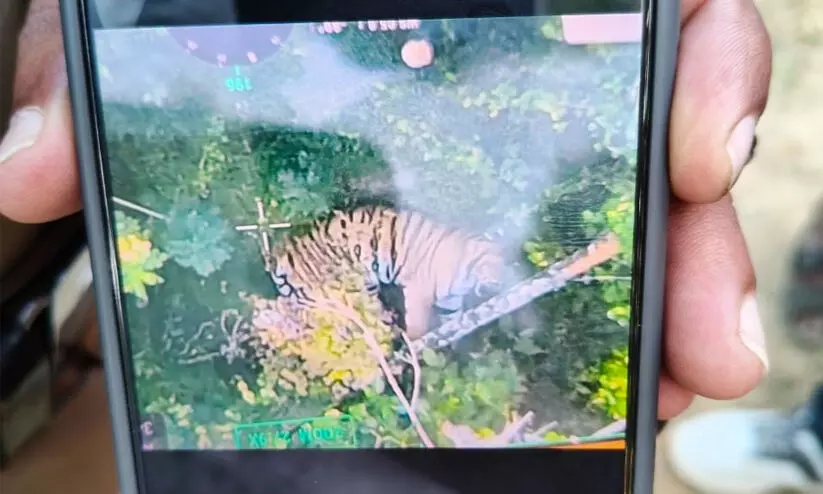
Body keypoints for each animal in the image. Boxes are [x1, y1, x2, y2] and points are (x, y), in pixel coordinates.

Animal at [266, 204, 509, 339]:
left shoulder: (449, 303)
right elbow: (418, 325)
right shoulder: (419, 291)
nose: (499, 286)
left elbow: (451, 321)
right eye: (495, 262)